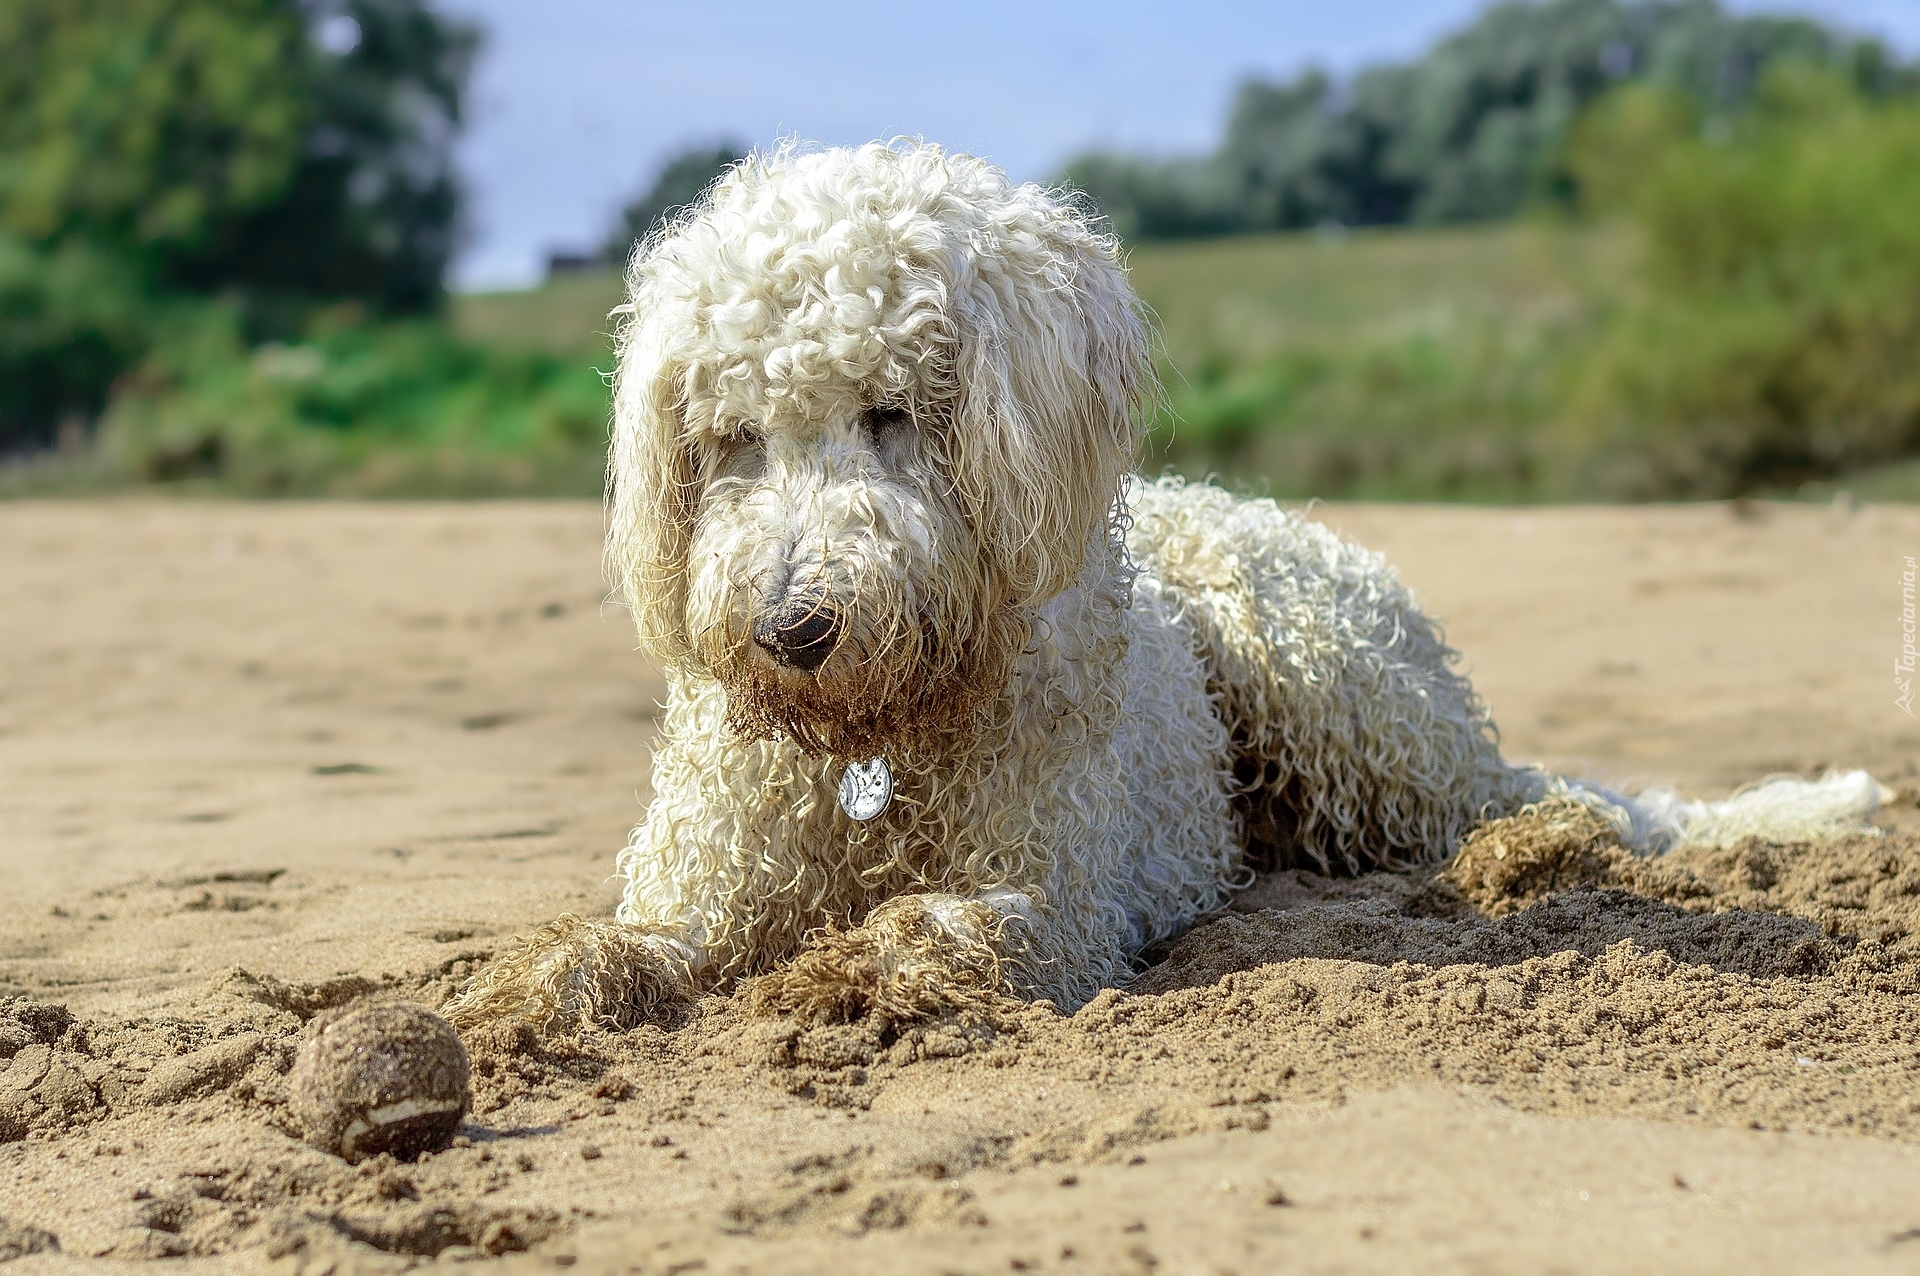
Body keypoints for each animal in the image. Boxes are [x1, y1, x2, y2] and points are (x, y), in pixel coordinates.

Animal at [445, 139, 1873, 1036]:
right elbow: (622, 942)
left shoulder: (1067, 889)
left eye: (892, 412)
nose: (793, 628)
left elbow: (958, 922)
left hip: (1324, 678)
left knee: (1537, 796)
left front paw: (854, 967)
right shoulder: (710, 879)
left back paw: (1535, 849)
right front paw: (528, 989)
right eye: (731, 438)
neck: (878, 745)